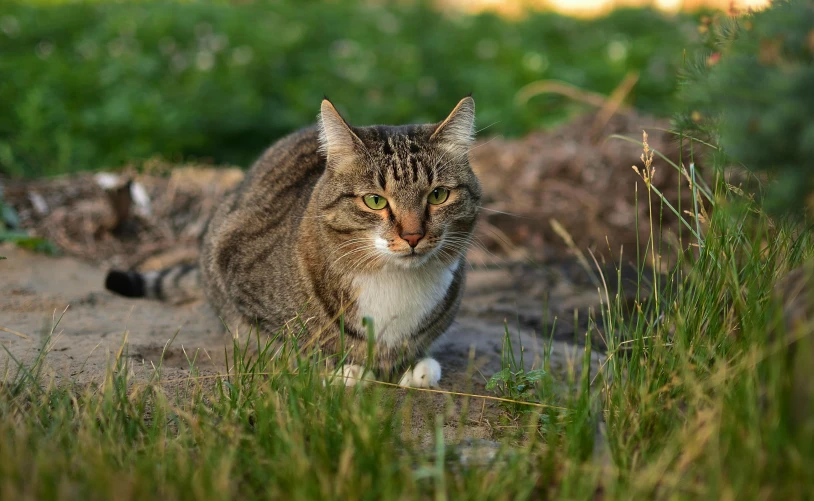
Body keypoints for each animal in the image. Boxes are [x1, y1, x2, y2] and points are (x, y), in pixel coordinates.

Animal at [105, 96, 482, 386]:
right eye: (375, 201)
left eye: (438, 195)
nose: (413, 235)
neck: (394, 280)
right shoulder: (237, 279)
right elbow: (290, 343)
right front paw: (344, 369)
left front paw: (418, 365)